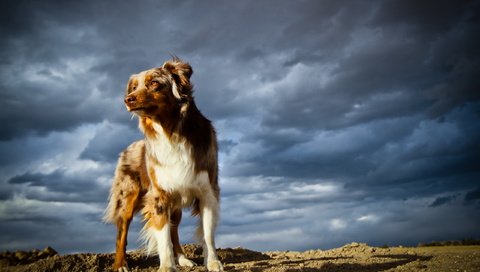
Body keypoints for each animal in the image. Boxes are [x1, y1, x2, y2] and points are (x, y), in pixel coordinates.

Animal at [104, 58, 224, 272]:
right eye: (134, 87)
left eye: (154, 83)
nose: (128, 99)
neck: (171, 131)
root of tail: (127, 149)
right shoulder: (159, 195)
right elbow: (163, 237)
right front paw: (167, 266)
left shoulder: (207, 192)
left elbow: (207, 233)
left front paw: (213, 262)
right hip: (127, 198)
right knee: (121, 232)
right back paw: (120, 264)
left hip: (175, 204)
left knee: (174, 230)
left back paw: (183, 259)